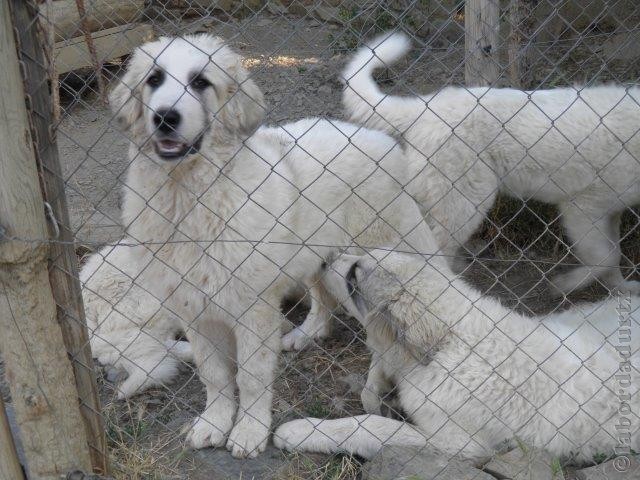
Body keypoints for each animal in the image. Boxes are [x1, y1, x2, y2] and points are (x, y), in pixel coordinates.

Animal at [91, 34, 440, 458]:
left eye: (200, 82)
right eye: (154, 79)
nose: (165, 118)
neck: (188, 196)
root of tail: (373, 137)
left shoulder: (251, 309)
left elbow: (251, 376)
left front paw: (249, 432)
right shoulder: (193, 309)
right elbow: (214, 375)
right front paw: (214, 423)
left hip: (383, 258)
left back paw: (375, 385)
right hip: (316, 254)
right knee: (322, 297)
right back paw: (308, 333)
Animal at [274, 248, 640, 462]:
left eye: (352, 277)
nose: (324, 258)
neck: (450, 343)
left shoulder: (458, 444)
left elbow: (370, 426)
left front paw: (299, 431)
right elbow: (377, 374)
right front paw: (377, 390)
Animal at [342, 31, 640, 294]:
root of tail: (426, 106)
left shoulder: (611, 210)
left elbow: (614, 255)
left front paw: (621, 289)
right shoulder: (581, 207)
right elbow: (604, 257)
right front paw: (565, 285)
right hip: (465, 203)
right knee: (434, 251)